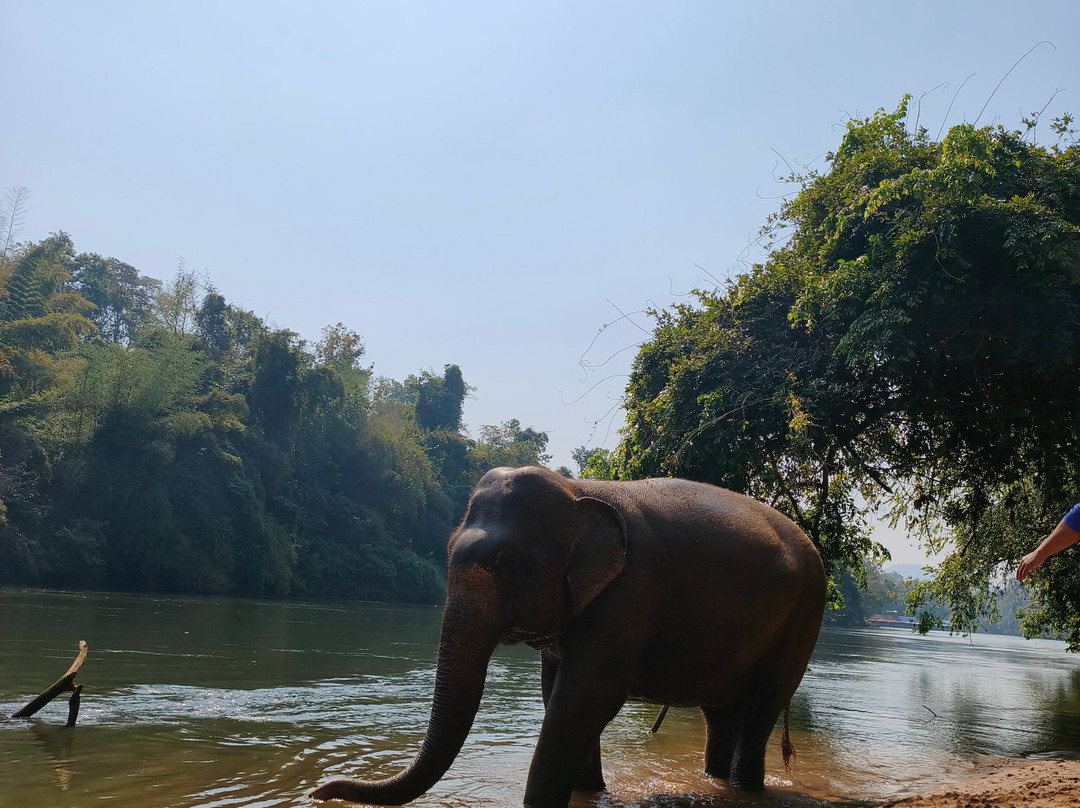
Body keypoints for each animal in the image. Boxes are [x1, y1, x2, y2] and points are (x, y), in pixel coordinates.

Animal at [309, 465, 826, 808]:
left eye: (508, 566)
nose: (318, 790)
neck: (577, 490)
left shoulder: (630, 592)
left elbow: (585, 696)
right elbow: (555, 690)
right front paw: (588, 791)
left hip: (806, 613)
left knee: (759, 709)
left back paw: (746, 787)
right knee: (721, 714)